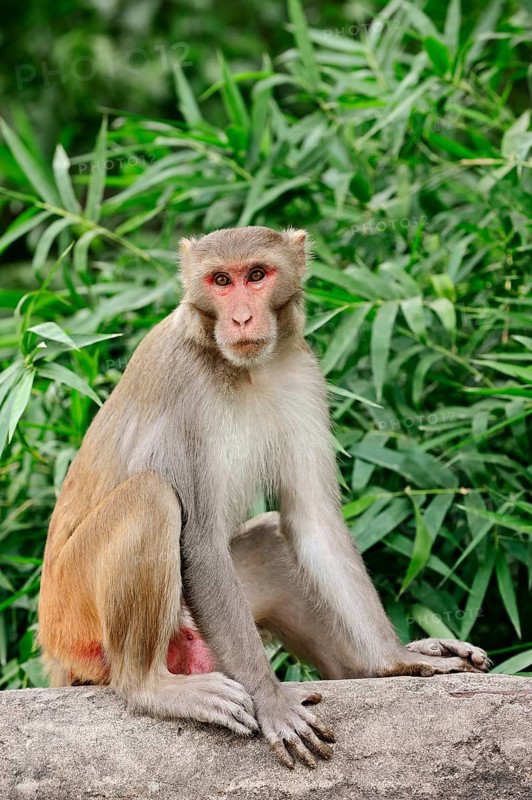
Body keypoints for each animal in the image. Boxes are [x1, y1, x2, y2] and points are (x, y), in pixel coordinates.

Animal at [38, 226, 489, 769]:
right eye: (220, 281)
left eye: (256, 275)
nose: (241, 318)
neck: (243, 368)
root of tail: (52, 645)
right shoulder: (185, 384)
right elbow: (200, 542)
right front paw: (272, 700)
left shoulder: (302, 372)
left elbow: (312, 520)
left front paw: (396, 659)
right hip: (78, 615)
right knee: (151, 496)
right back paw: (151, 687)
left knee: (275, 539)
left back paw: (377, 667)